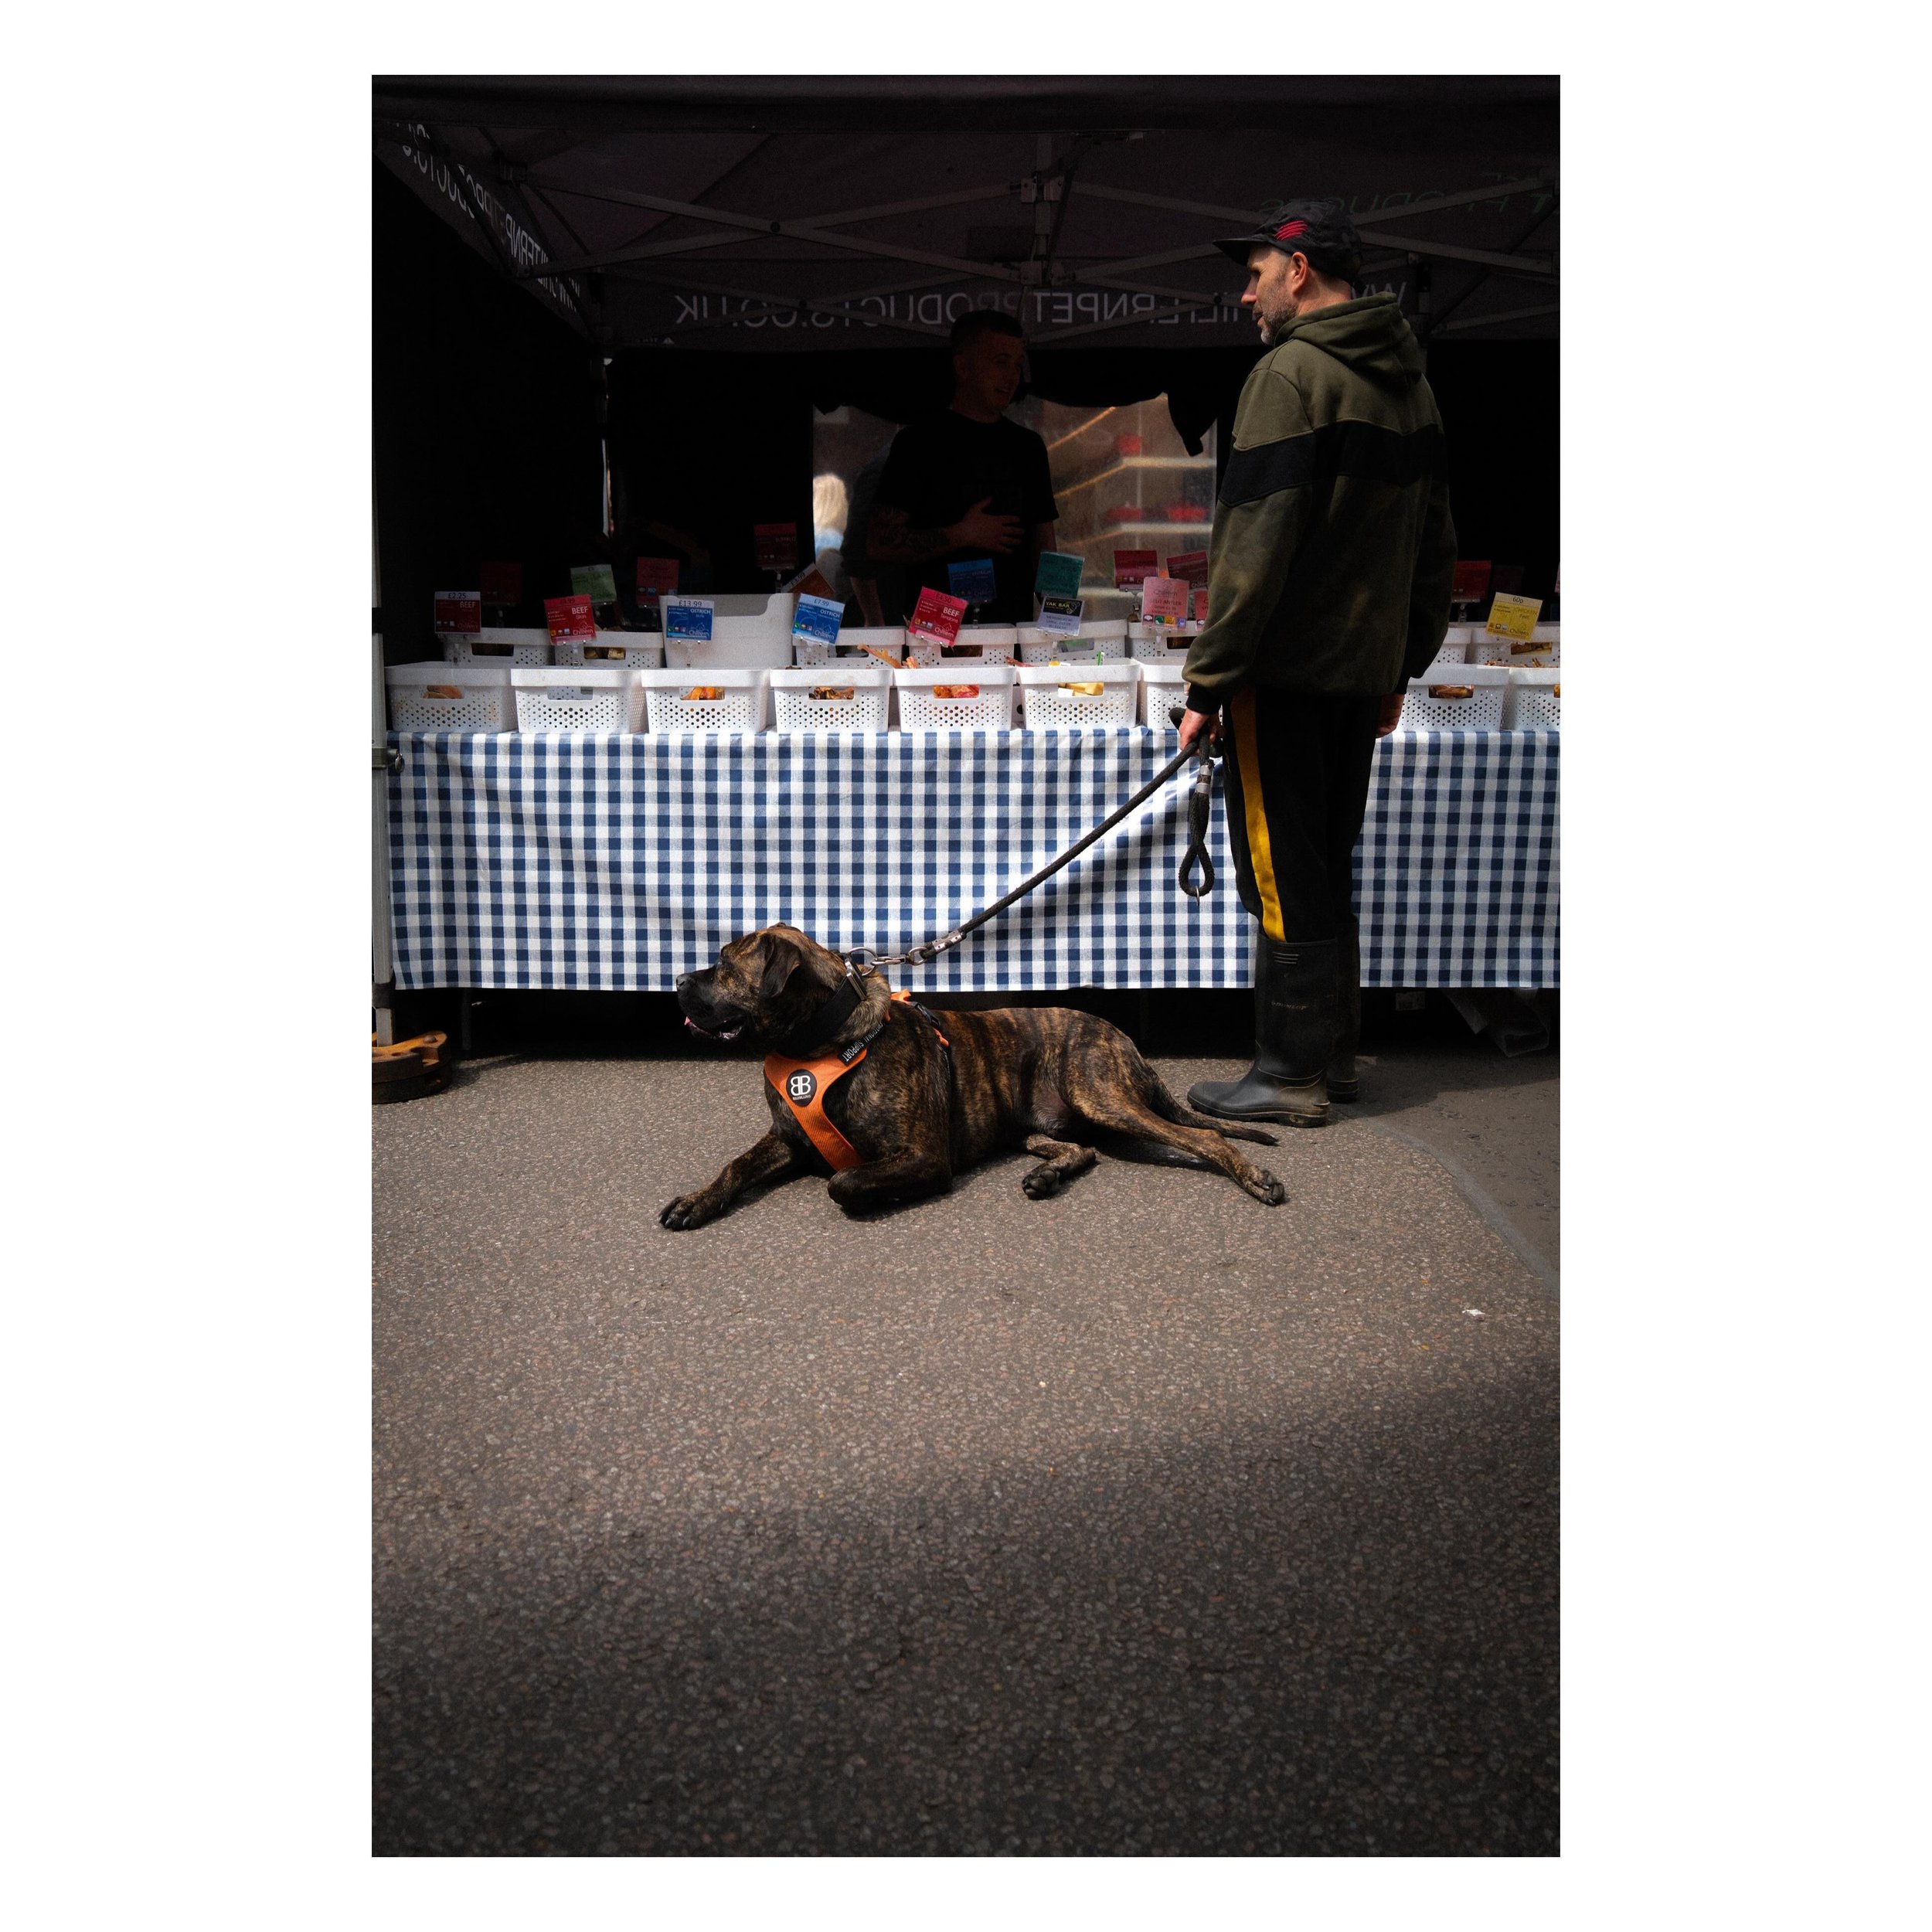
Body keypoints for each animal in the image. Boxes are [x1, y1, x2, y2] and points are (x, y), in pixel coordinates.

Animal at [661, 920, 1283, 1221]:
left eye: (723, 964)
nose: (678, 981)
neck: (822, 1042)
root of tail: (1122, 1037)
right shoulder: (786, 1139)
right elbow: (736, 1166)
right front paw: (697, 1201)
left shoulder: (924, 1155)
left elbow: (843, 1181)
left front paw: (873, 1196)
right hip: (1041, 1123)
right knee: (1083, 1149)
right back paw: (1047, 1174)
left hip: (1102, 1096)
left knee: (1204, 1138)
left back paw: (1256, 1179)